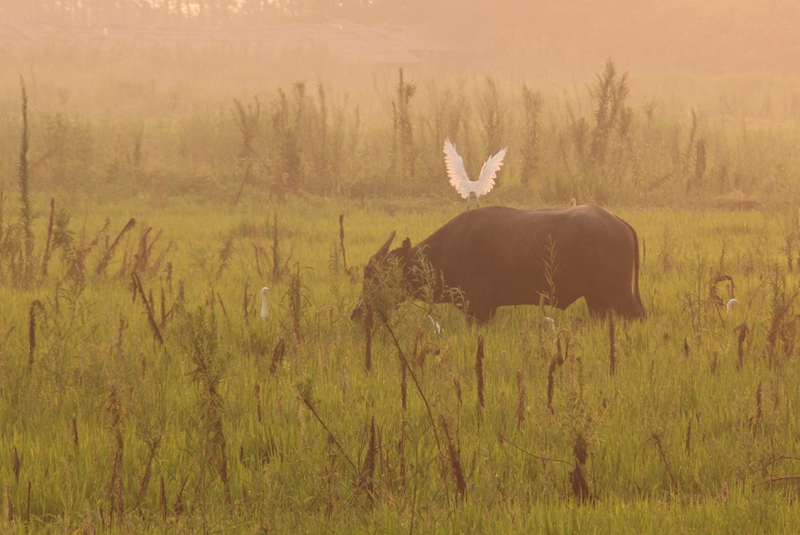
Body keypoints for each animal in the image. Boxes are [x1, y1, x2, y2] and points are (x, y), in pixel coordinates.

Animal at [354, 204, 640, 322]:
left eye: (374, 275)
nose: (357, 312)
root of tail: (618, 222)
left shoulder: (478, 310)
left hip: (619, 296)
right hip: (597, 300)